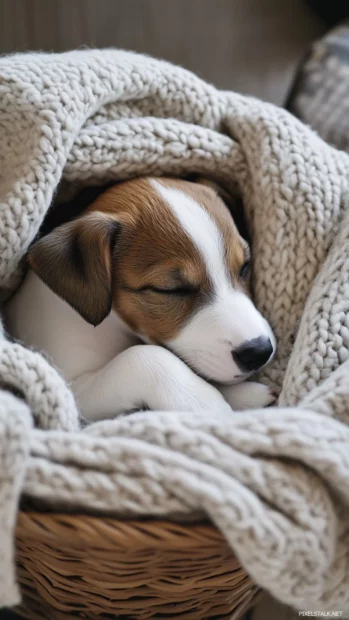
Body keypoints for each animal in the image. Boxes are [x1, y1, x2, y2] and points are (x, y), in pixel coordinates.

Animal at [3, 179, 274, 422]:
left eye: (245, 266)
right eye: (172, 290)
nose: (259, 351)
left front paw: (244, 396)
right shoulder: (69, 387)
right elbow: (142, 355)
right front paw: (202, 401)